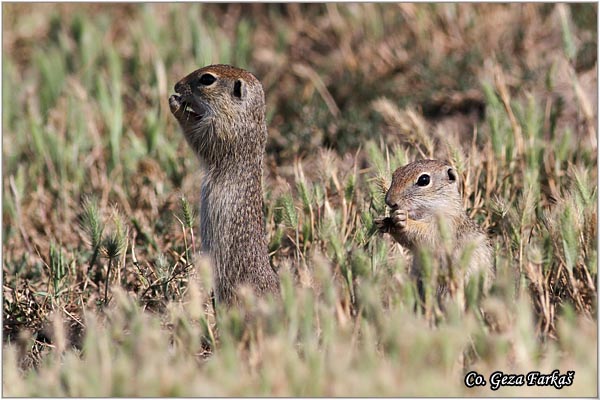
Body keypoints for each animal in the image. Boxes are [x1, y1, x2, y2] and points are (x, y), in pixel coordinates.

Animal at [169, 64, 282, 306]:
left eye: (207, 79)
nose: (176, 85)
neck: (245, 116)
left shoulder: (222, 133)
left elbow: (198, 137)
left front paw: (176, 105)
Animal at [376, 159, 492, 296]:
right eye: (395, 173)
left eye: (424, 180)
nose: (389, 202)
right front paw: (385, 222)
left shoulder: (445, 226)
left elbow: (426, 235)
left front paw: (403, 220)